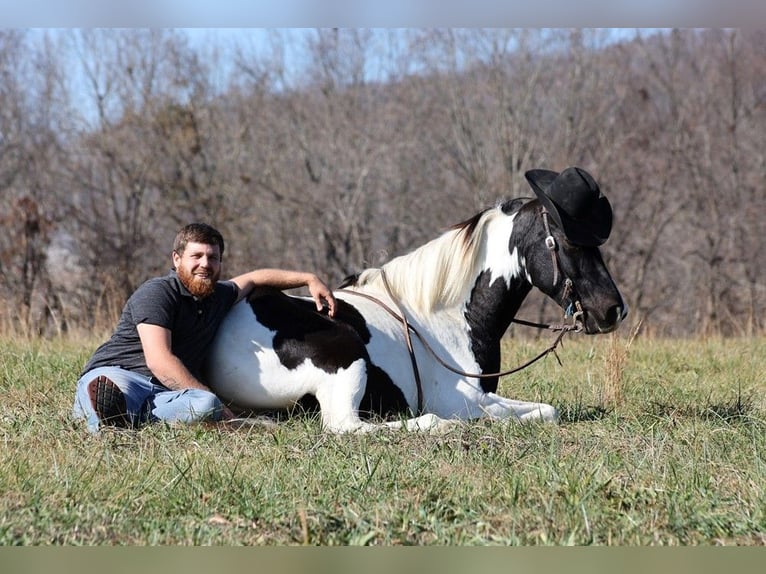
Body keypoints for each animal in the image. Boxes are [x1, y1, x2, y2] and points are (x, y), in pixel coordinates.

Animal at [206, 174, 632, 432]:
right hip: (347, 359)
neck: (443, 318)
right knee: (348, 427)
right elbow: (529, 413)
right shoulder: (463, 399)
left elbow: (547, 410)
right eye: (567, 242)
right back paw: (434, 425)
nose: (613, 310)